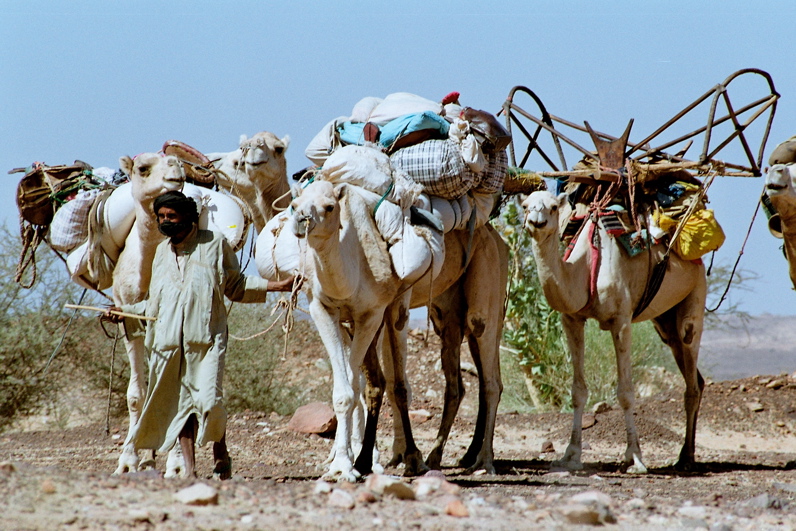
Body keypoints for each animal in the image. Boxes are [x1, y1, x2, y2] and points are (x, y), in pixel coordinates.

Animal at [290, 179, 430, 482]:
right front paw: (341, 464)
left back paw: (411, 459)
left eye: (330, 207)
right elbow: (346, 392)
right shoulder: (322, 309)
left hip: (398, 308)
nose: (301, 219)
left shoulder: (371, 314)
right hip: (350, 325)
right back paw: (362, 457)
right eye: (293, 205)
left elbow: (354, 389)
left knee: (396, 383)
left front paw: (347, 466)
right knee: (369, 381)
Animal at [524, 188, 708, 474]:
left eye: (553, 207)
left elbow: (625, 393)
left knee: (690, 367)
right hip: (664, 321)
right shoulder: (572, 319)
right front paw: (571, 455)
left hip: (696, 292)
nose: (536, 223)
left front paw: (635, 457)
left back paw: (686, 458)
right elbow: (577, 391)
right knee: (691, 371)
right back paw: (684, 453)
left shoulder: (621, 320)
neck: (586, 266)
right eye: (524, 205)